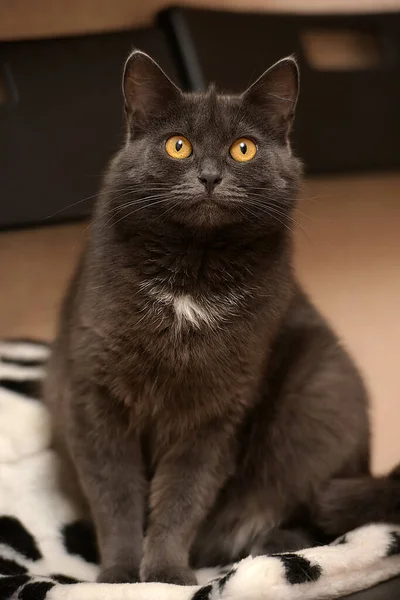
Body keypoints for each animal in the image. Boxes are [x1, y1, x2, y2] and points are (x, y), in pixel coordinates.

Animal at [43, 51, 400, 584]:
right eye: (178, 145)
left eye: (243, 149)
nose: (210, 175)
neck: (193, 270)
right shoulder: (94, 396)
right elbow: (116, 494)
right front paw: (121, 576)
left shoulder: (217, 411)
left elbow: (183, 495)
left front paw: (166, 575)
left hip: (323, 393)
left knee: (315, 510)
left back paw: (273, 548)